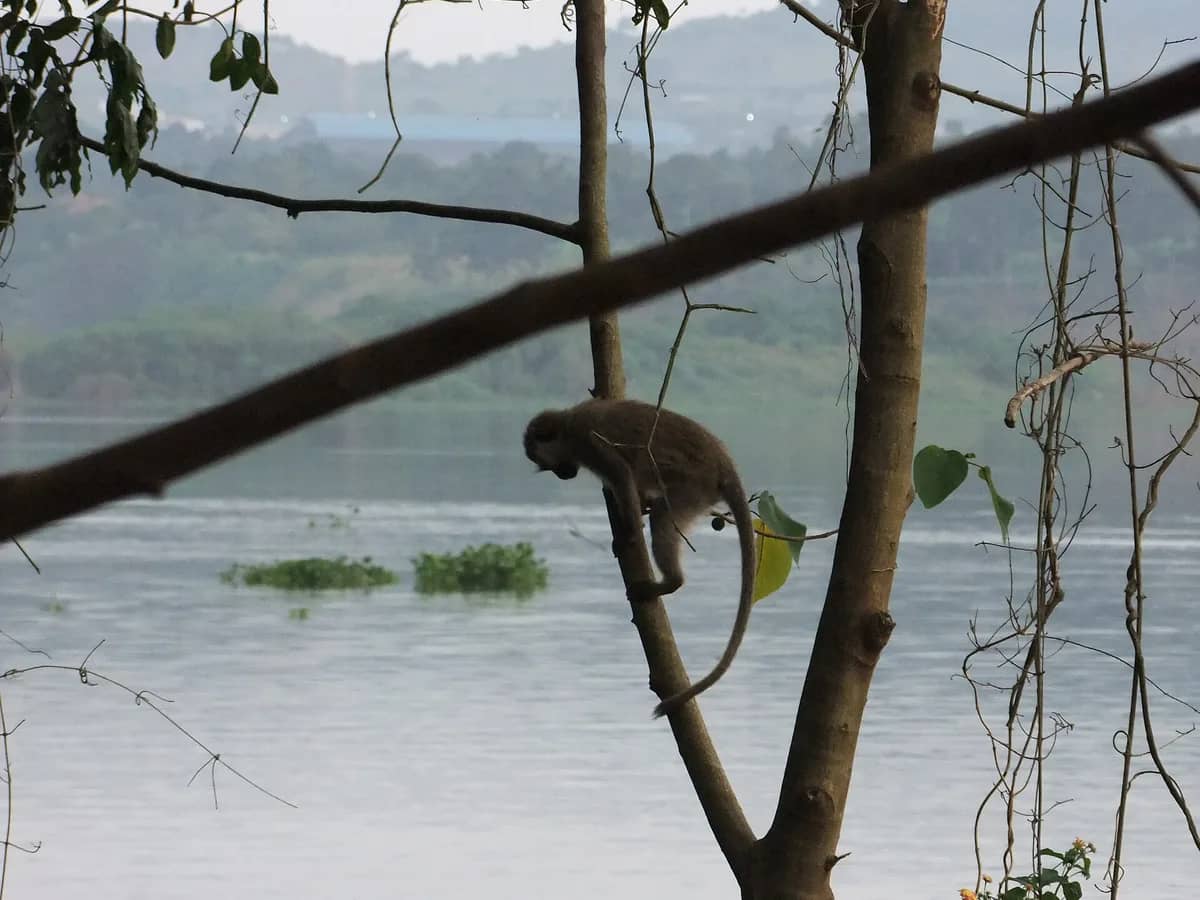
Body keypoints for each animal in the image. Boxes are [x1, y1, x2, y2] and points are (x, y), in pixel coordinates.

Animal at [523, 398, 755, 719]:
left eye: (546, 463)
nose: (562, 474)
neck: (568, 425)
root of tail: (724, 463)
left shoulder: (589, 441)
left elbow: (622, 474)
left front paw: (630, 533)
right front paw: (637, 507)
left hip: (694, 485)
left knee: (663, 514)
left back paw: (671, 581)